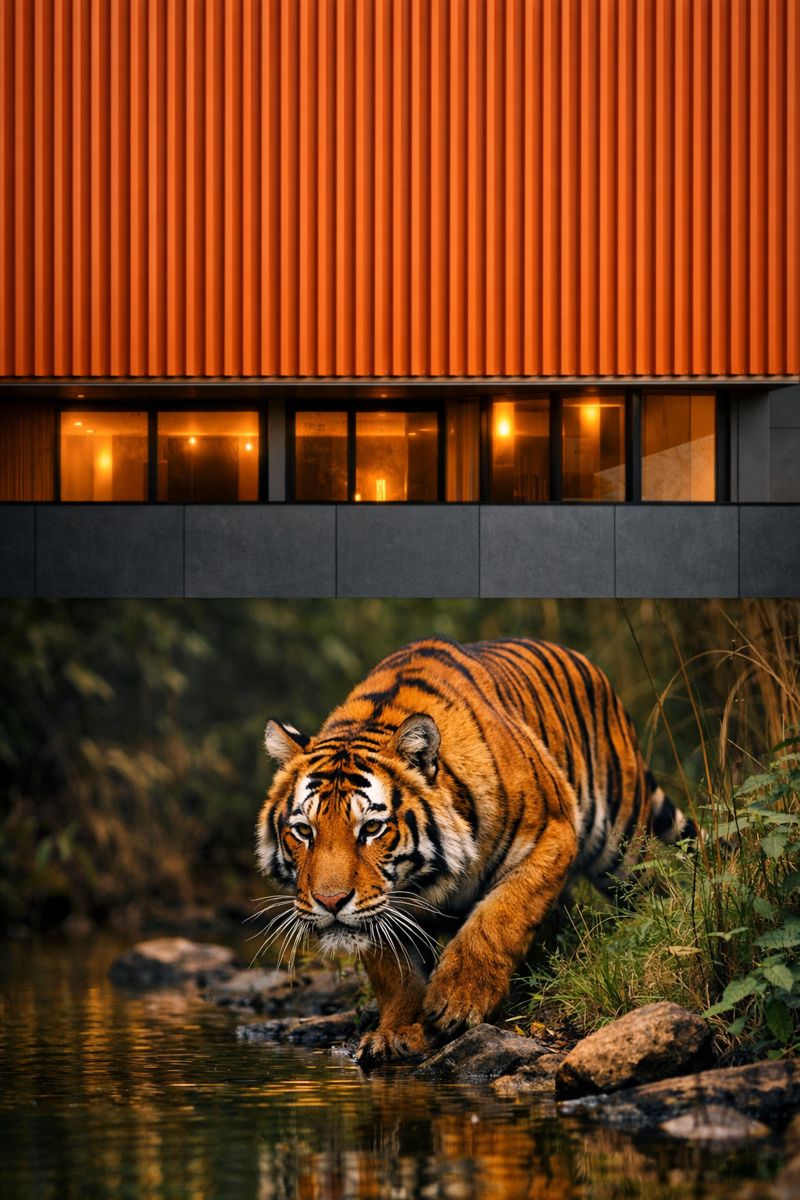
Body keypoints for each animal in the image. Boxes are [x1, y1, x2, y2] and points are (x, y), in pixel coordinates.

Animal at [256, 635, 695, 1068]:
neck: (426, 880)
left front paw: (458, 1001)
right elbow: (394, 972)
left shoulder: (552, 834)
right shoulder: (384, 905)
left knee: (661, 887)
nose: (330, 901)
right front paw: (396, 1032)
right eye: (303, 831)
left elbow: (498, 919)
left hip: (628, 843)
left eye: (372, 829)